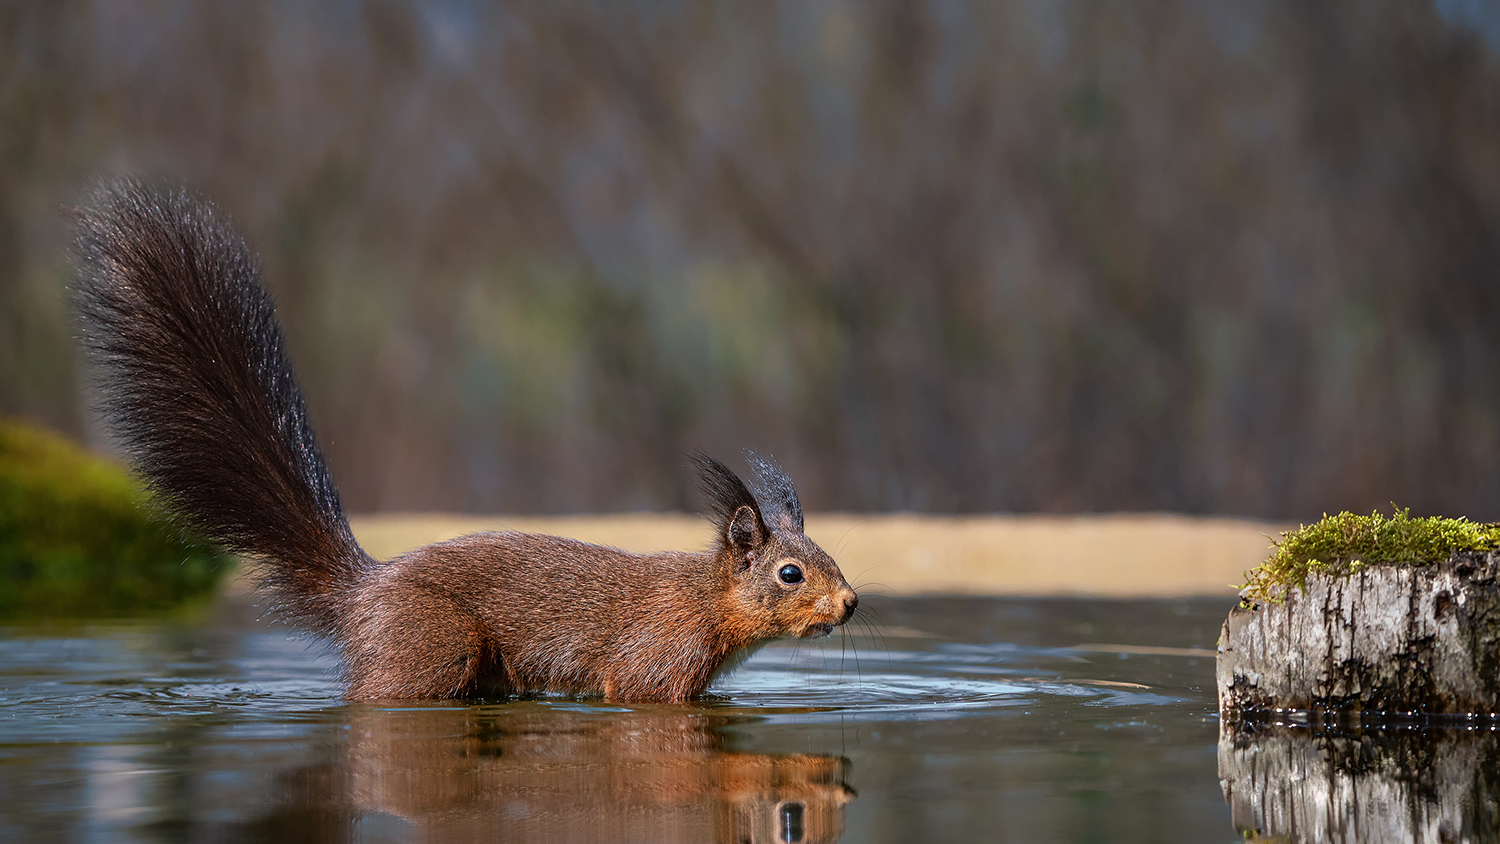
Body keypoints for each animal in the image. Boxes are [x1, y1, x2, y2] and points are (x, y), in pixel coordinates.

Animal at [76, 181, 858, 704]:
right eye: (790, 573)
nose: (851, 605)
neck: (703, 602)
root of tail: (363, 594)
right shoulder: (652, 667)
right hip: (432, 647)